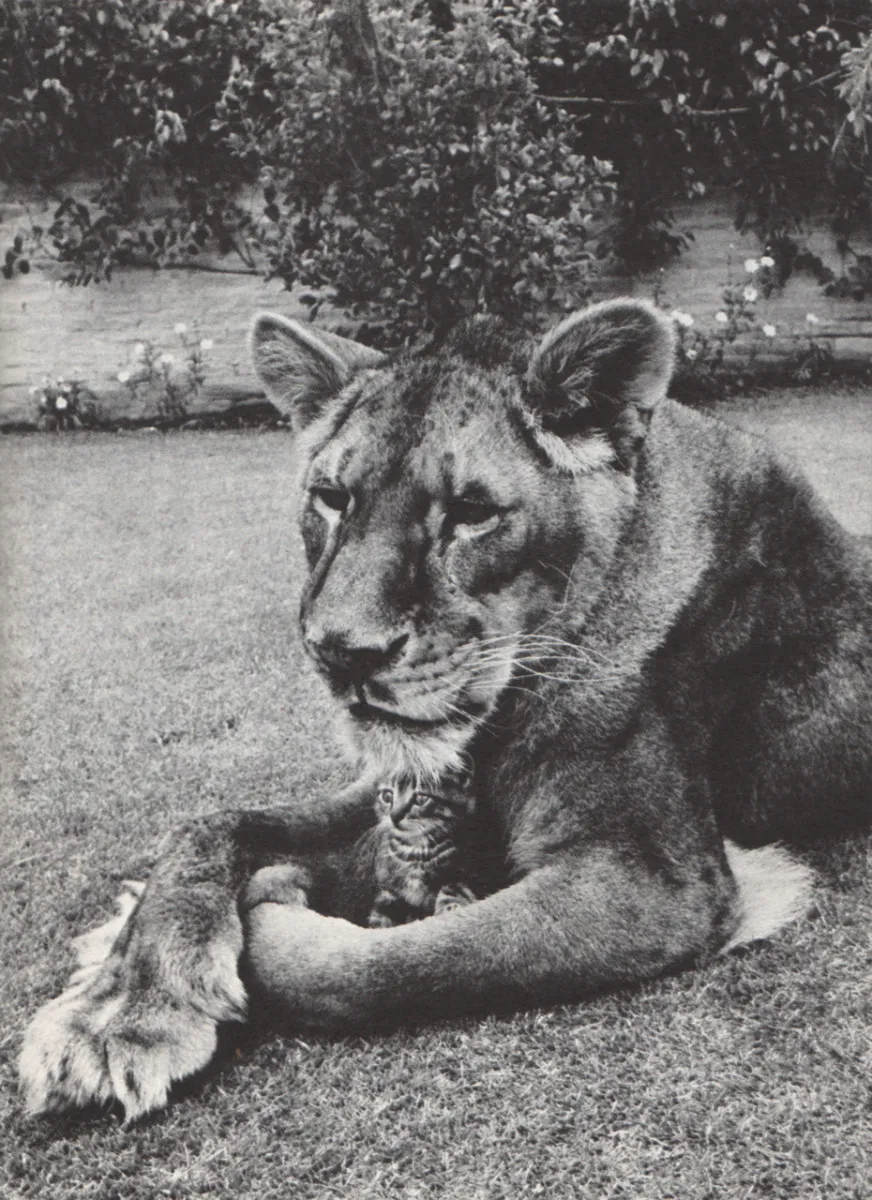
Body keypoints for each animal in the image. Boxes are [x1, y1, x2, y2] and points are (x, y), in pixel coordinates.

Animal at [19, 299, 871, 1122]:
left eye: (471, 512)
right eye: (331, 498)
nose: (341, 652)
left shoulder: (656, 884)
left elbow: (382, 967)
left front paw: (271, 904)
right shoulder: (408, 777)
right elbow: (211, 822)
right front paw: (120, 1007)